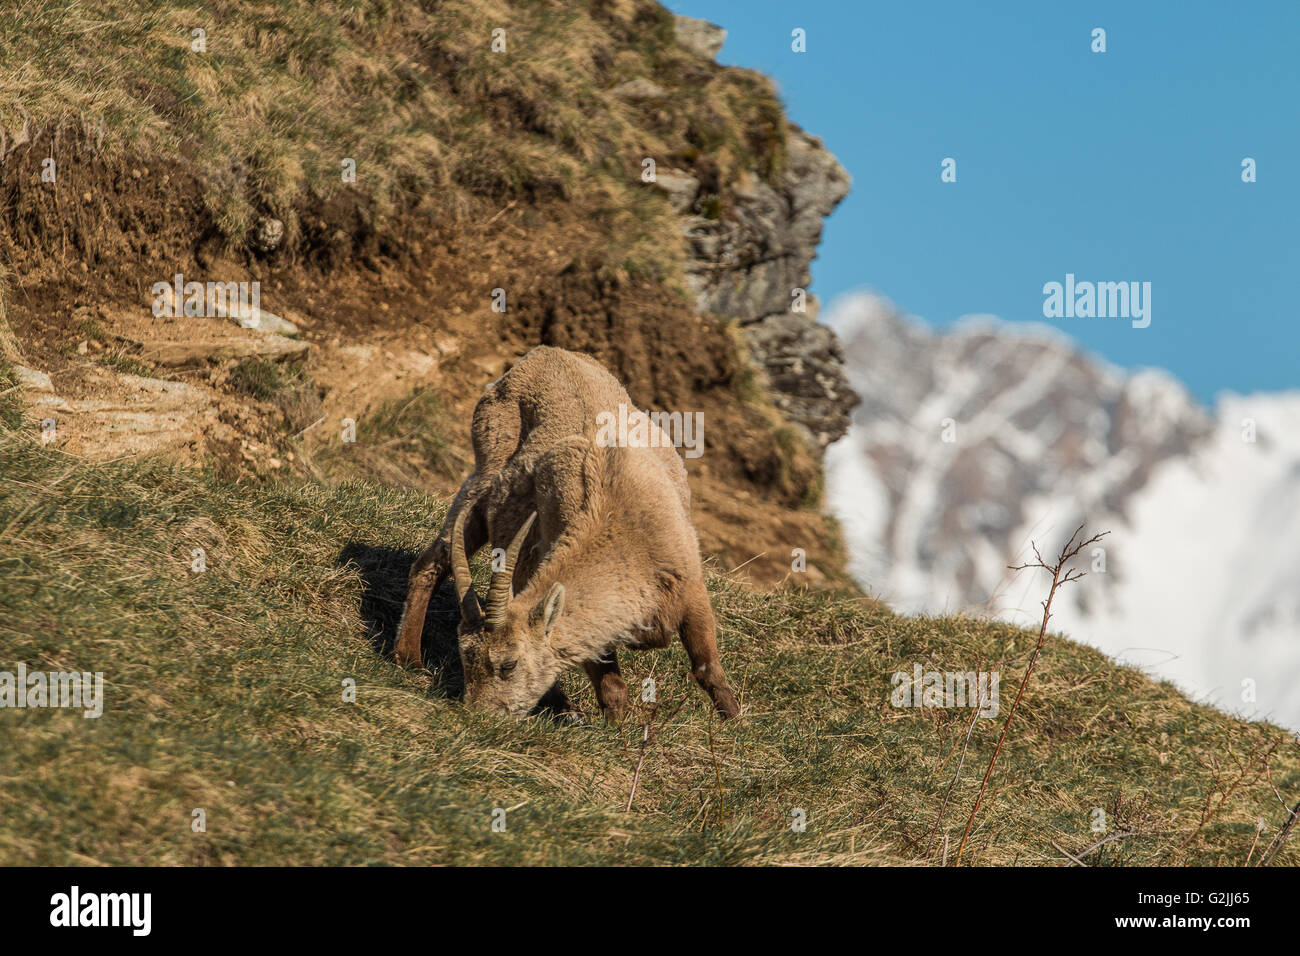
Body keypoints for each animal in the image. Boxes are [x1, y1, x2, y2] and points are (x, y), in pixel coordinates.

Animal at [392, 345, 740, 720]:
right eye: (466, 659)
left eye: (509, 664)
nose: (479, 716)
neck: (624, 532)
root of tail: (544, 354)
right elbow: (611, 685)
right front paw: (622, 726)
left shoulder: (691, 588)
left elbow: (707, 668)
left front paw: (733, 719)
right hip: (481, 483)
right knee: (431, 563)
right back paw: (409, 658)